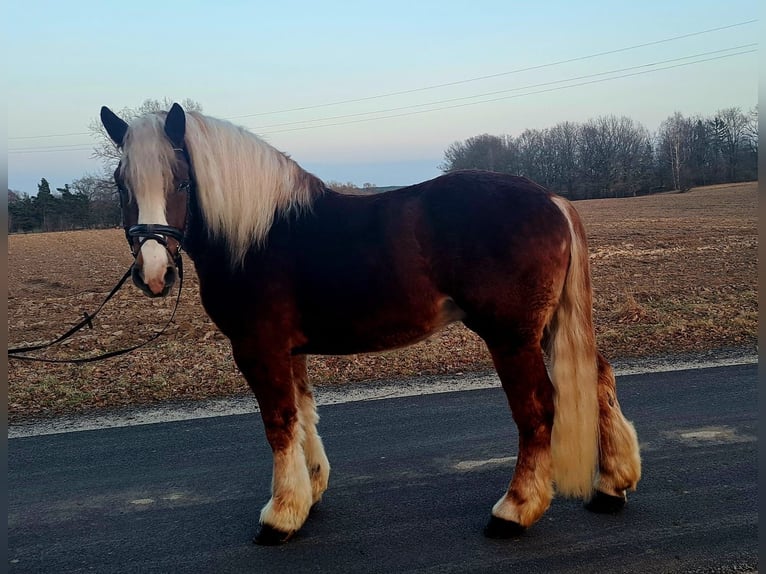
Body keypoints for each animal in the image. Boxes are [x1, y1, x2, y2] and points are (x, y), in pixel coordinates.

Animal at [100, 103, 641, 545]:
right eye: (120, 182)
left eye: (181, 181)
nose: (154, 274)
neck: (257, 234)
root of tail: (552, 199)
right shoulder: (291, 349)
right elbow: (304, 414)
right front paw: (310, 492)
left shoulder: (259, 346)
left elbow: (279, 422)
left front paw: (280, 516)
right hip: (545, 328)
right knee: (598, 379)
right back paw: (611, 486)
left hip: (512, 337)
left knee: (537, 410)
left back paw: (514, 510)